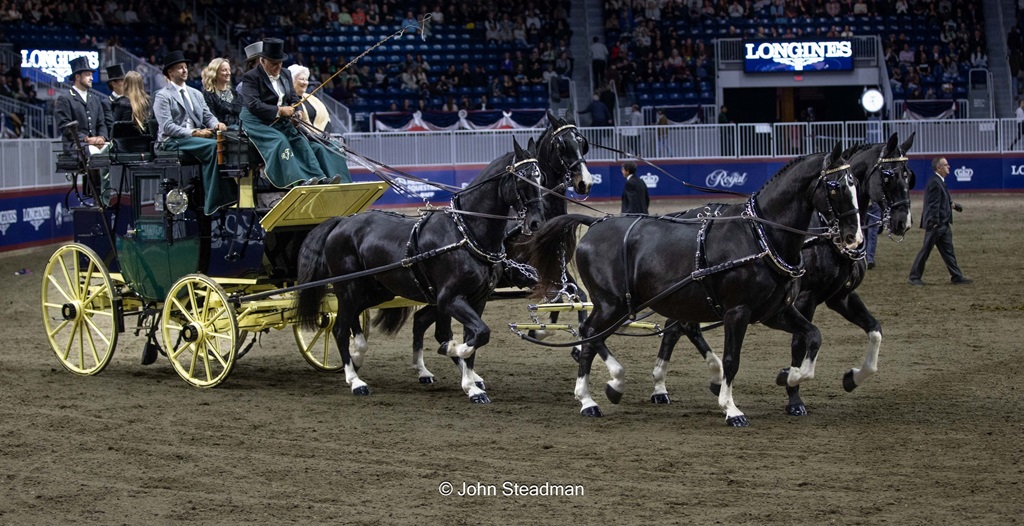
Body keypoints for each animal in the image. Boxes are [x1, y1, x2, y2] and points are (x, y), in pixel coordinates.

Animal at [295, 138, 546, 403]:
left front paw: (472, 385)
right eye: (522, 178)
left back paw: (358, 354)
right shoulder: (449, 298)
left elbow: (476, 337)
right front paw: (453, 352)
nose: (536, 222)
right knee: (340, 329)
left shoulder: (478, 299)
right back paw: (355, 380)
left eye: (540, 177)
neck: (465, 234)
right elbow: (469, 335)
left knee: (355, 319)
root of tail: (341, 221)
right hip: (348, 288)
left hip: (374, 290)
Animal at [523, 142, 862, 426]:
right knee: (590, 333)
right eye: (834, 187)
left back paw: (608, 389)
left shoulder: (774, 312)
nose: (853, 237)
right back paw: (592, 396)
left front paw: (789, 377)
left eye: (855, 184)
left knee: (595, 335)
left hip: (623, 304)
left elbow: (813, 336)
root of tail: (595, 223)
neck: (760, 237)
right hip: (611, 303)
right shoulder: (737, 312)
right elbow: (732, 360)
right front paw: (731, 408)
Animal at [647, 132, 916, 416]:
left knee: (677, 326)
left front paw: (852, 377)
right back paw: (673, 384)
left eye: (908, 176)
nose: (903, 222)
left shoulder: (841, 296)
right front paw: (793, 393)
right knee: (682, 327)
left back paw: (670, 385)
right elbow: (799, 344)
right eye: (887, 175)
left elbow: (874, 330)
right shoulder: (805, 298)